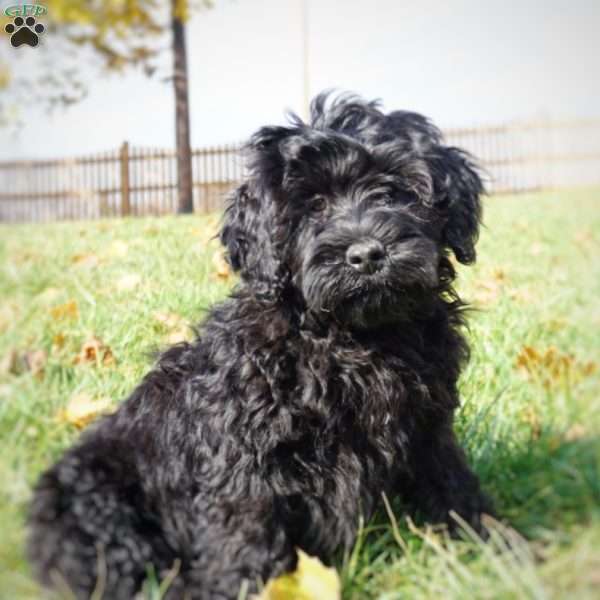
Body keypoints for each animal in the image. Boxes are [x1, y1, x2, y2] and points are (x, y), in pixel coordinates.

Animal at [29, 91, 492, 596]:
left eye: (393, 193)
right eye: (313, 206)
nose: (367, 254)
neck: (357, 336)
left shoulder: (428, 424)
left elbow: (449, 481)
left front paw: (492, 548)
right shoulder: (244, 455)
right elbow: (246, 533)